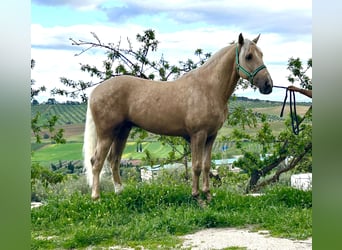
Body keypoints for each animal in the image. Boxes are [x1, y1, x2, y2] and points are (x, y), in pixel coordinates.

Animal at [83, 33, 272, 201]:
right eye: (248, 56)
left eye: (262, 54)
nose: (268, 85)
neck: (209, 88)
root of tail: (96, 90)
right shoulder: (198, 135)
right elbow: (196, 166)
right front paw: (197, 196)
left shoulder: (211, 136)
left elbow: (206, 165)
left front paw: (207, 194)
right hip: (107, 133)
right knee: (97, 161)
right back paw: (96, 197)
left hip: (122, 131)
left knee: (113, 160)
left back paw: (119, 191)